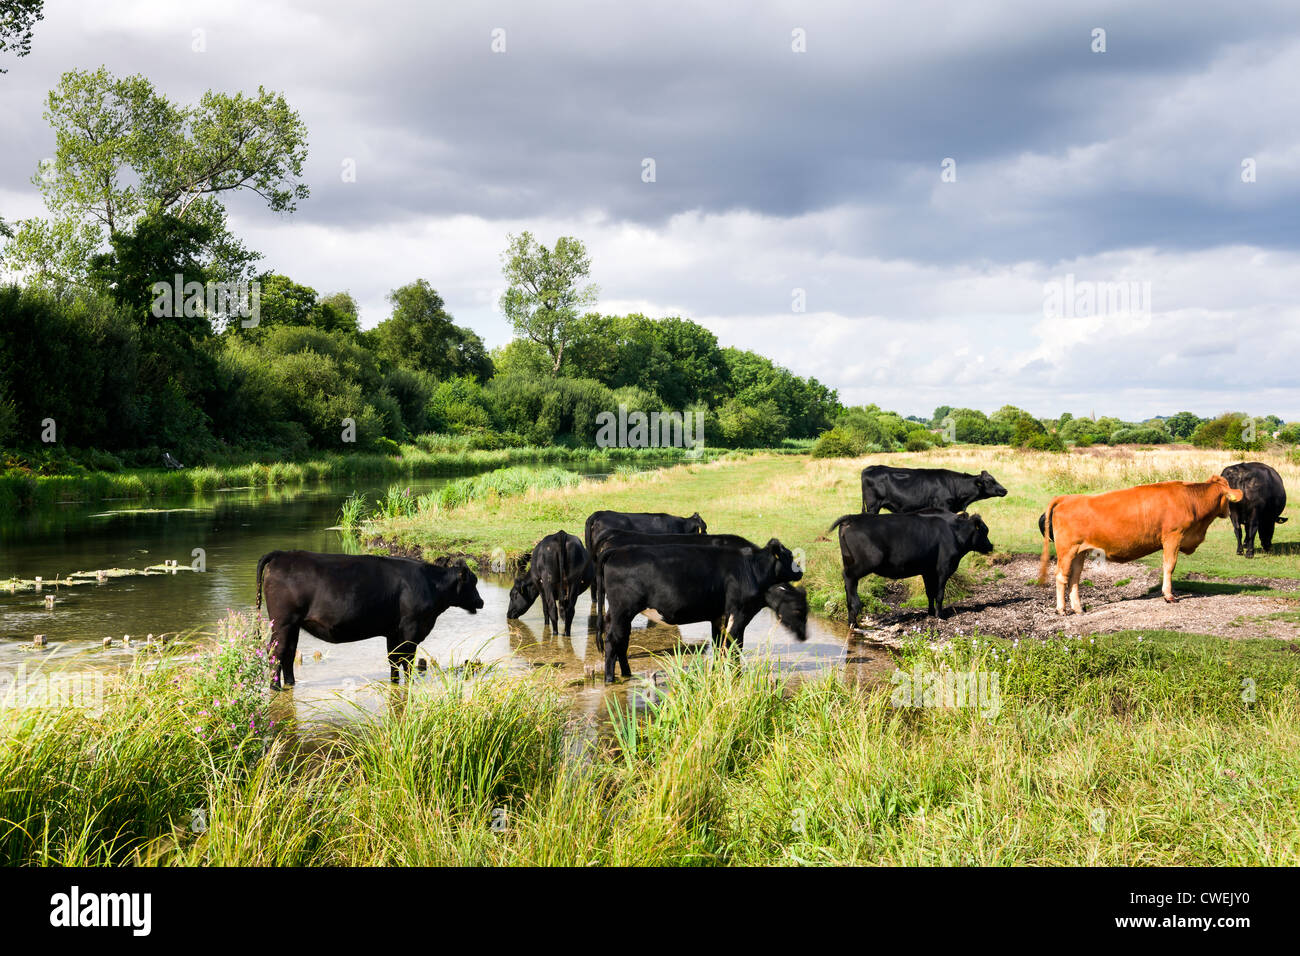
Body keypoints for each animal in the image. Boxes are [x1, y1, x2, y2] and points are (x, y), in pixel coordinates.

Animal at [253, 554, 483, 686]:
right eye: (473, 582)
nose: (480, 602)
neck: (430, 584)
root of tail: (281, 555)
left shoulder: (393, 631)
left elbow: (393, 659)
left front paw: (394, 683)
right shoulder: (412, 628)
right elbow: (407, 660)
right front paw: (409, 684)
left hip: (293, 625)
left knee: (289, 653)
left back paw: (291, 683)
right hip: (283, 622)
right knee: (277, 651)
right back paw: (275, 687)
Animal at [598, 541, 800, 686]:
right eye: (790, 556)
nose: (801, 571)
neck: (751, 569)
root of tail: (617, 551)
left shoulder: (719, 616)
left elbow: (719, 646)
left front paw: (719, 672)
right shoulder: (740, 613)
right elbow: (735, 645)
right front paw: (736, 674)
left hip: (618, 614)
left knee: (622, 640)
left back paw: (627, 673)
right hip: (622, 610)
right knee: (613, 640)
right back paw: (610, 679)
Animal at [832, 512, 993, 624]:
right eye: (984, 531)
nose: (991, 546)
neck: (954, 533)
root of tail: (851, 518)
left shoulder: (928, 571)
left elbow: (930, 593)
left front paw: (930, 612)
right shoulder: (944, 568)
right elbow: (940, 594)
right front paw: (940, 615)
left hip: (849, 560)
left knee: (848, 584)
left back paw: (851, 618)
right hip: (869, 561)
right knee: (849, 577)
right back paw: (856, 611)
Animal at [1040, 476, 1242, 613]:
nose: (1228, 513)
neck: (1190, 500)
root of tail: (1066, 498)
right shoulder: (1173, 537)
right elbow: (1169, 566)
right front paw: (1168, 595)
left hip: (1079, 552)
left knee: (1074, 577)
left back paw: (1078, 608)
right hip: (1067, 550)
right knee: (1061, 576)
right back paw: (1062, 609)